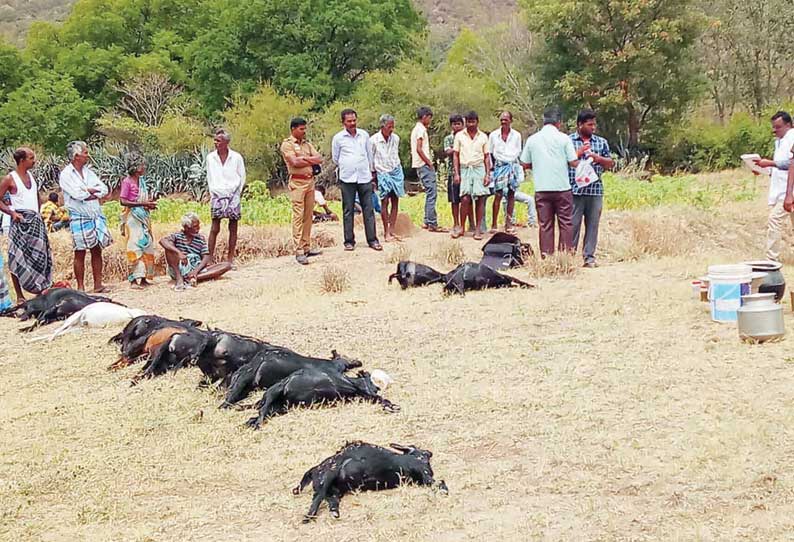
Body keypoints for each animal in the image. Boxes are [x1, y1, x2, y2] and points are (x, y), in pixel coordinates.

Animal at [243, 372, 396, 432]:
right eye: (370, 380)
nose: (377, 388)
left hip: (279, 408)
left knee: (260, 413)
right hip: (274, 394)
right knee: (262, 411)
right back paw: (255, 423)